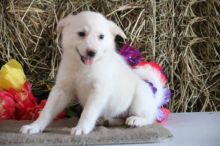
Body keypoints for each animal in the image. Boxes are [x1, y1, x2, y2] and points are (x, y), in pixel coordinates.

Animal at [20, 11, 165, 136]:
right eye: (81, 33)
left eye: (101, 37)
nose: (92, 52)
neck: (83, 67)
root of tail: (154, 101)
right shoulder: (62, 89)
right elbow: (47, 111)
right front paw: (34, 126)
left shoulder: (98, 91)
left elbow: (88, 112)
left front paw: (81, 128)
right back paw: (106, 120)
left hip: (139, 100)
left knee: (149, 117)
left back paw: (136, 120)